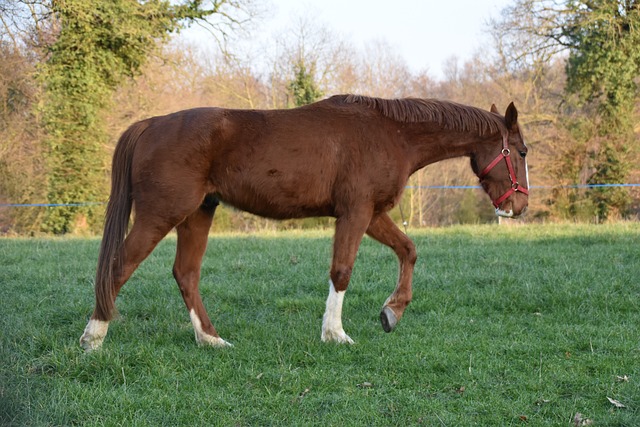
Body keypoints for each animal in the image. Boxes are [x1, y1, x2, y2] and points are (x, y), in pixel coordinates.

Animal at [80, 94, 528, 352]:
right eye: (521, 151)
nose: (520, 205)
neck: (390, 132)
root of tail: (151, 124)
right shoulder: (356, 213)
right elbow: (342, 271)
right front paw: (335, 334)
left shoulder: (372, 214)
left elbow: (409, 250)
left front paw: (392, 312)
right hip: (162, 214)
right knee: (119, 268)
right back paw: (94, 339)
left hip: (198, 213)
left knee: (185, 274)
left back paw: (211, 339)